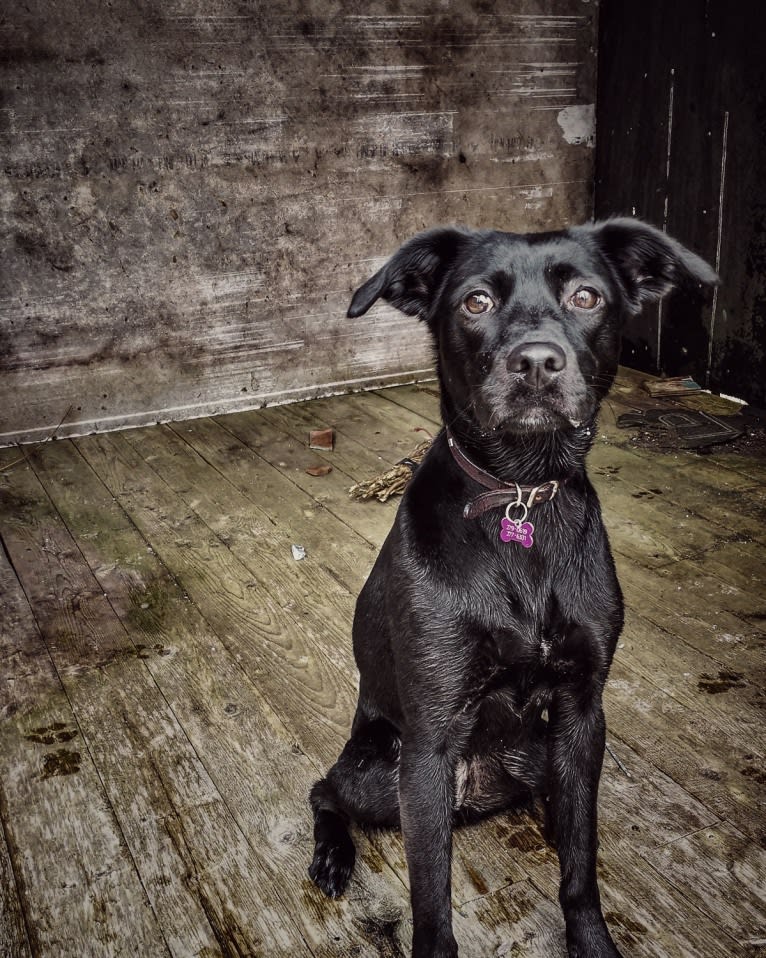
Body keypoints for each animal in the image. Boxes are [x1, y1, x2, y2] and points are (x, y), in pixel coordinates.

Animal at [308, 221, 716, 956]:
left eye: (586, 296)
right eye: (475, 303)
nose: (536, 364)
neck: (521, 490)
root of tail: (480, 789)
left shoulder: (583, 714)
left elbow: (581, 862)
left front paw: (591, 939)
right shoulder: (431, 740)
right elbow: (432, 904)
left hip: (542, 750)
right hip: (378, 771)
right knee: (322, 789)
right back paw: (330, 856)